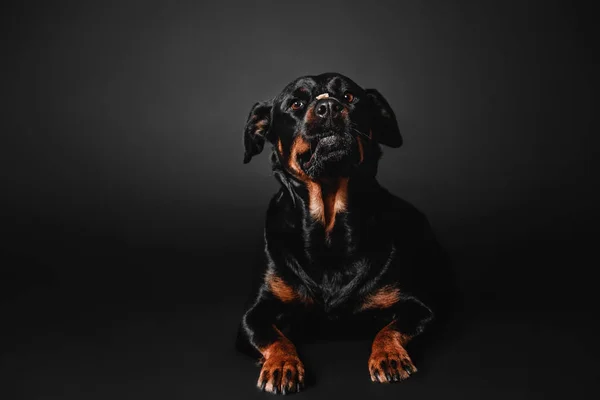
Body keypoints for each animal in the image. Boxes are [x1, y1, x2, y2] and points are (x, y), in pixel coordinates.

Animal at [237, 72, 452, 394]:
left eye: (349, 96)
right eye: (296, 103)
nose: (328, 107)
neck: (329, 226)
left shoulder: (421, 309)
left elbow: (390, 328)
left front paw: (388, 355)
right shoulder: (253, 315)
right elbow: (274, 337)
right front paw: (283, 364)